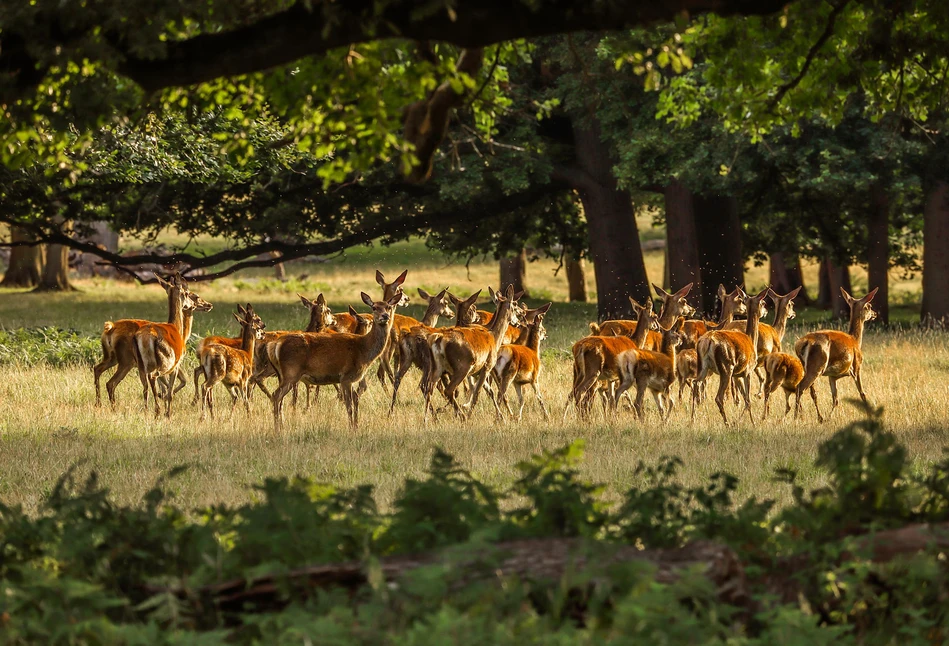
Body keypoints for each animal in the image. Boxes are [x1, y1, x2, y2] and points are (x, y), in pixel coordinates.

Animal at [268, 292, 402, 430]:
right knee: (276, 396)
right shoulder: (346, 376)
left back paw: (281, 425)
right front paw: (351, 428)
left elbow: (355, 400)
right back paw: (277, 429)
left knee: (279, 399)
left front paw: (356, 426)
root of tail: (275, 344)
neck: (363, 350)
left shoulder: (351, 379)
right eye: (374, 307)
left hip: (282, 375)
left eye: (388, 307)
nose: (385, 316)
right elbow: (349, 405)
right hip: (291, 372)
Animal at [424, 286, 520, 422]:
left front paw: (501, 416)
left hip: (436, 367)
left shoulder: (477, 371)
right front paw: (470, 415)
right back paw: (462, 416)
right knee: (449, 390)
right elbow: (477, 392)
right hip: (462, 366)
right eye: (514, 306)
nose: (518, 322)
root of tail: (438, 340)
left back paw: (427, 419)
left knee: (429, 389)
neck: (494, 336)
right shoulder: (487, 366)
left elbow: (488, 391)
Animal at [688, 288, 772, 428]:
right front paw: (751, 422)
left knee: (696, 383)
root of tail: (708, 341)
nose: (766, 311)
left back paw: (693, 419)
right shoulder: (747, 371)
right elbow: (748, 399)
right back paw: (727, 423)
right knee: (718, 397)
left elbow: (743, 398)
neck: (751, 340)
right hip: (726, 367)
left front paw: (739, 420)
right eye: (763, 303)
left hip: (703, 366)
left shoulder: (737, 375)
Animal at [788, 286, 876, 422]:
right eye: (869, 306)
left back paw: (814, 417)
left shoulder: (832, 376)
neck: (855, 340)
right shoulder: (856, 367)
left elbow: (835, 399)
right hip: (817, 366)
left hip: (806, 366)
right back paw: (796, 417)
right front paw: (869, 415)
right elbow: (862, 393)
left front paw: (829, 418)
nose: (875, 314)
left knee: (806, 390)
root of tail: (802, 343)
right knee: (800, 387)